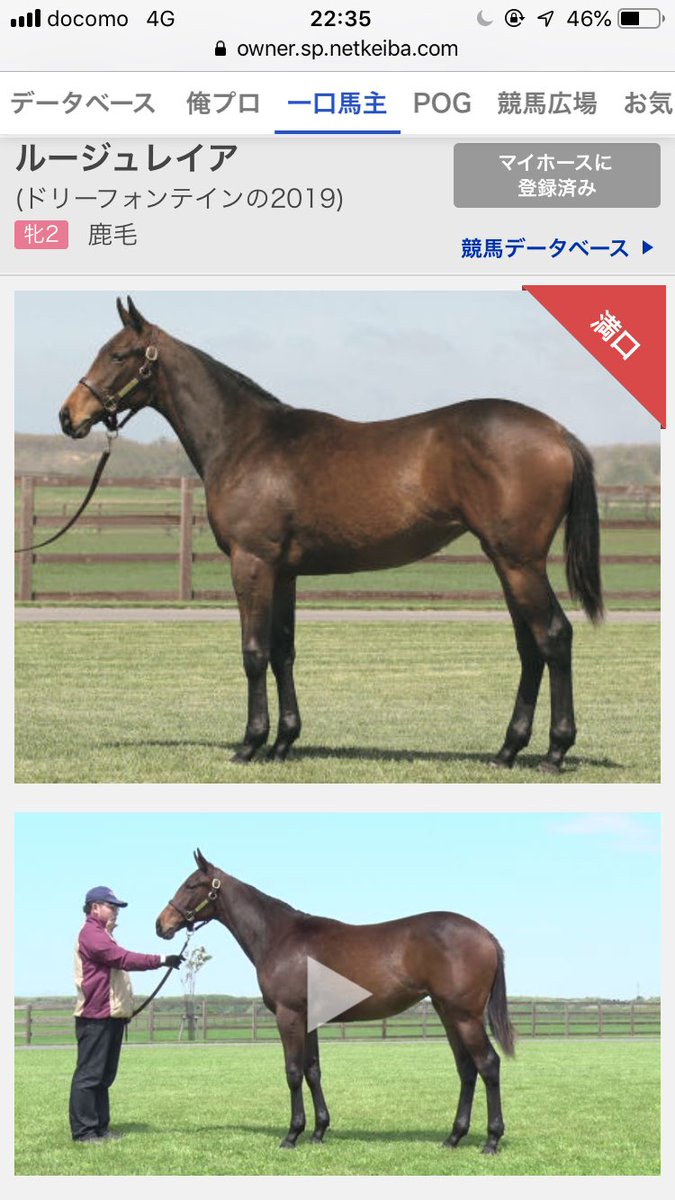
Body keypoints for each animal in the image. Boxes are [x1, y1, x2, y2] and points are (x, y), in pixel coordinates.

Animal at [59, 296, 603, 771]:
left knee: (554, 636)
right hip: (506, 563)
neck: (246, 439)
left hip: (519, 563)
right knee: (530, 646)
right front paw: (283, 742)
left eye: (119, 354)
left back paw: (555, 752)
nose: (69, 415)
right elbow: (283, 651)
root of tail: (558, 433)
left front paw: (250, 743)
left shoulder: (251, 562)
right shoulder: (283, 572)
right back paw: (508, 750)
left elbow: (254, 652)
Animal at [156, 850, 516, 1154]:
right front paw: (318, 1131)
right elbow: (313, 1070)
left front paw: (292, 1135)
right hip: (448, 1013)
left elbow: (292, 1072)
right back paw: (454, 1137)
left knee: (488, 1064)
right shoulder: (308, 1019)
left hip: (465, 1016)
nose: (161, 925)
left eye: (191, 885)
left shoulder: (289, 1015)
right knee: (467, 1068)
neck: (280, 936)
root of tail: (485, 934)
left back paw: (492, 1140)